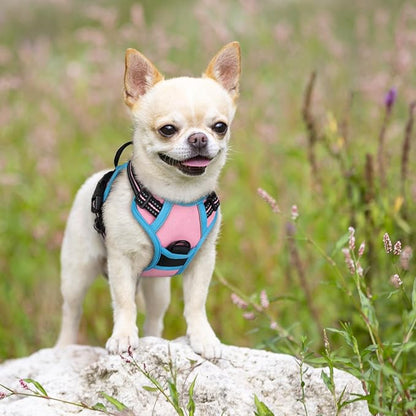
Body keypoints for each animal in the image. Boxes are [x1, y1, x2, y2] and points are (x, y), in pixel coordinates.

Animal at [55, 44, 240, 360]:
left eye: (220, 127)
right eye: (167, 129)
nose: (199, 138)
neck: (177, 195)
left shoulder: (203, 260)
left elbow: (196, 302)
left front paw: (203, 337)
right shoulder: (121, 261)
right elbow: (124, 302)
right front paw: (123, 336)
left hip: (157, 285)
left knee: (155, 316)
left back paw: (155, 340)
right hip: (77, 272)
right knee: (71, 311)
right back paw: (63, 347)